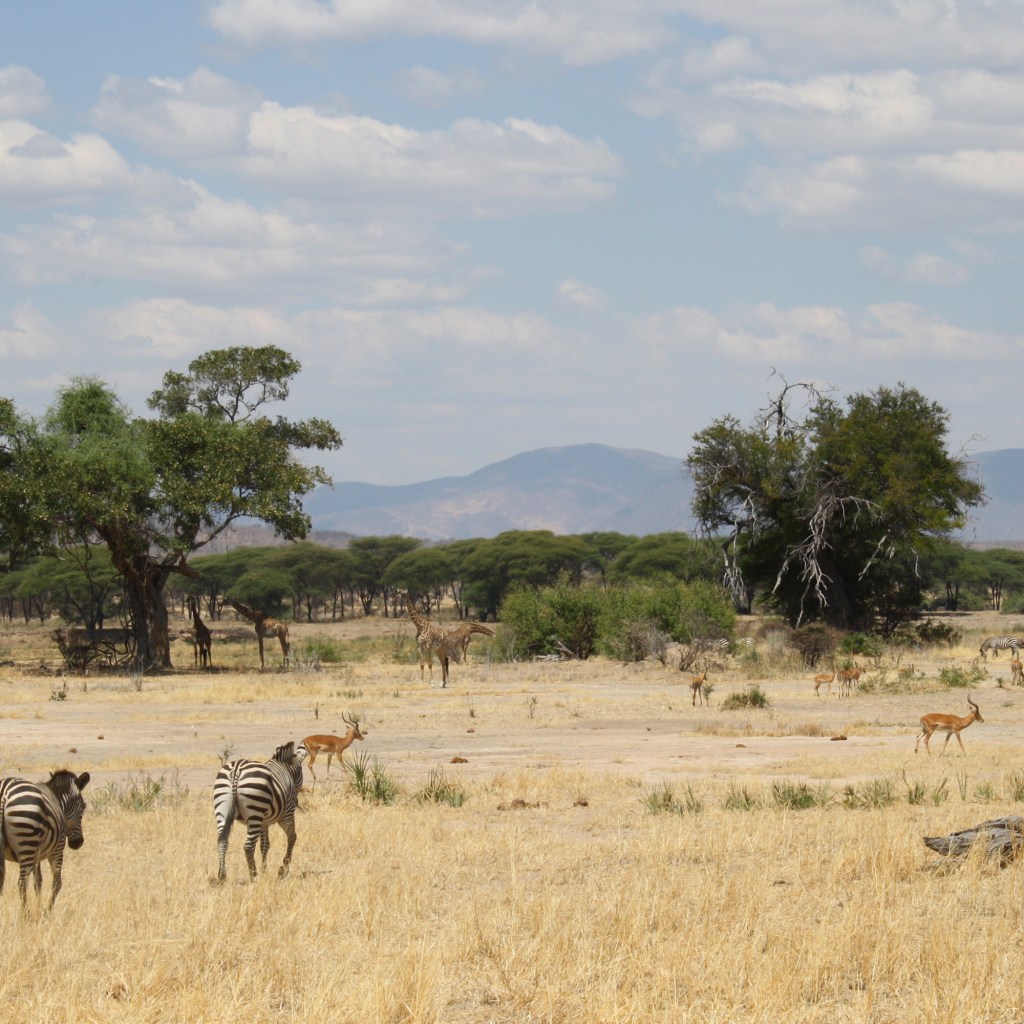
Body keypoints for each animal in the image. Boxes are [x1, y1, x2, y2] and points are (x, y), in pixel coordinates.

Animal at [0, 770, 90, 909]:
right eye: (84, 806)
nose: (78, 843)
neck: (58, 801)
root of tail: (5, 792)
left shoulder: (36, 853)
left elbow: (38, 881)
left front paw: (38, 907)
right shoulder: (58, 848)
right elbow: (57, 882)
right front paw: (47, 911)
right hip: (27, 843)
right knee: (22, 883)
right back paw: (25, 913)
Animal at [216, 741, 307, 884]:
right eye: (301, 771)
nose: (297, 801)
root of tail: (236, 770)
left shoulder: (264, 823)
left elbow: (265, 845)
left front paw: (265, 870)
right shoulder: (287, 814)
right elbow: (292, 837)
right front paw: (283, 869)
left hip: (222, 809)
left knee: (222, 841)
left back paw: (222, 875)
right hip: (255, 812)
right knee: (248, 846)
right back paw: (254, 875)